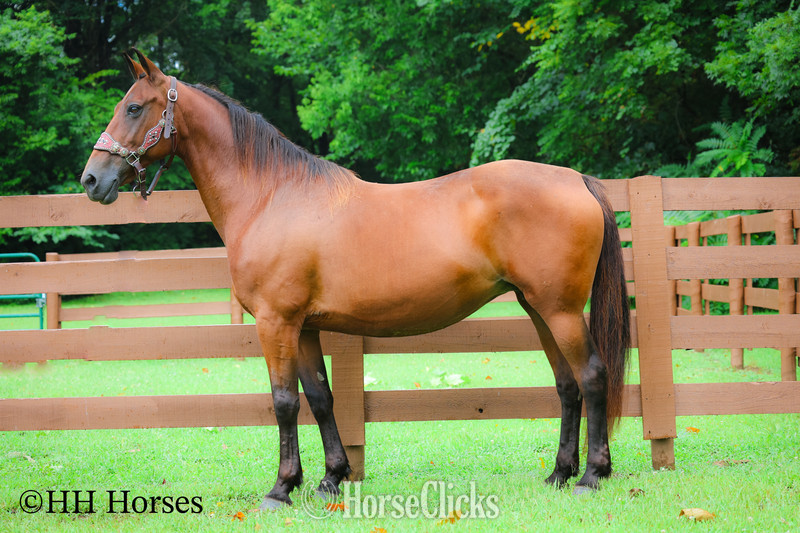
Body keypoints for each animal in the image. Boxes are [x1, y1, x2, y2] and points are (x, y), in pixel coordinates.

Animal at [81, 49, 630, 509]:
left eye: (134, 108)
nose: (91, 180)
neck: (271, 196)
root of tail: (575, 179)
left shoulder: (276, 323)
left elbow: (284, 402)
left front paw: (281, 488)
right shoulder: (303, 327)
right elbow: (320, 398)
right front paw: (329, 479)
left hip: (560, 311)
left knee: (591, 376)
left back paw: (591, 476)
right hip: (538, 307)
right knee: (567, 385)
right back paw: (559, 474)